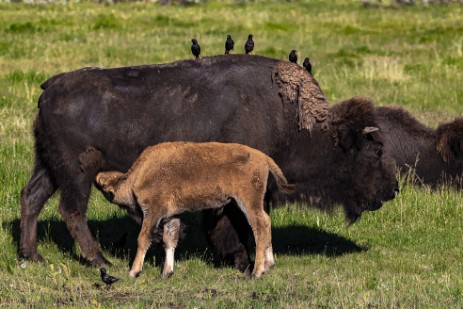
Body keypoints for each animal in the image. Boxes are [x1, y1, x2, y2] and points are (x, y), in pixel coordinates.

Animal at [95, 141, 294, 278]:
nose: (97, 180)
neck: (138, 175)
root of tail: (263, 157)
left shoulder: (153, 212)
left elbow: (143, 239)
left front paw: (133, 271)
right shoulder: (171, 216)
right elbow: (169, 241)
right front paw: (166, 273)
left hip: (248, 202)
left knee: (260, 225)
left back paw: (257, 271)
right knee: (266, 223)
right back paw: (269, 265)